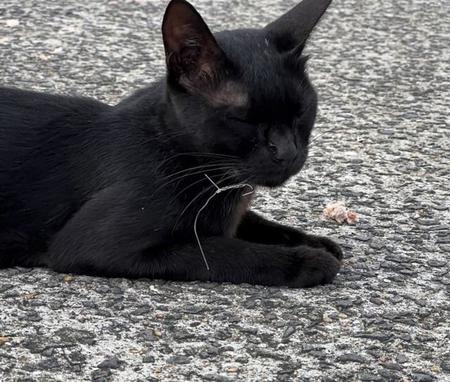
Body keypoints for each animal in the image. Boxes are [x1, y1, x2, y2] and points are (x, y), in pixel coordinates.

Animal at [0, 0, 342, 286]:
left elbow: (257, 224)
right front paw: (308, 260)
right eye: (243, 120)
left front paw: (312, 241)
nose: (287, 151)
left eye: (301, 111)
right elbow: (220, 251)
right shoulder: (94, 244)